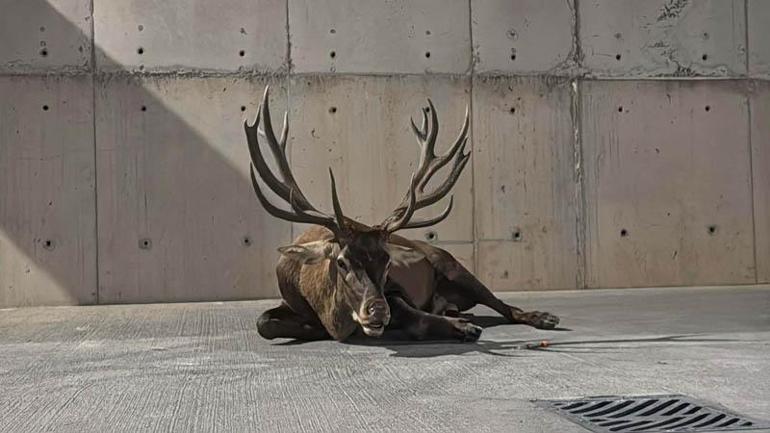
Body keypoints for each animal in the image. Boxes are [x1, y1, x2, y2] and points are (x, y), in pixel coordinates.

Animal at [246, 85, 560, 340]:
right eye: (342, 262)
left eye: (387, 262)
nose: (377, 311)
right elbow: (264, 323)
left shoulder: (397, 290)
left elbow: (411, 314)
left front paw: (463, 328)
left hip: (455, 267)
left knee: (504, 305)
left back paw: (543, 317)